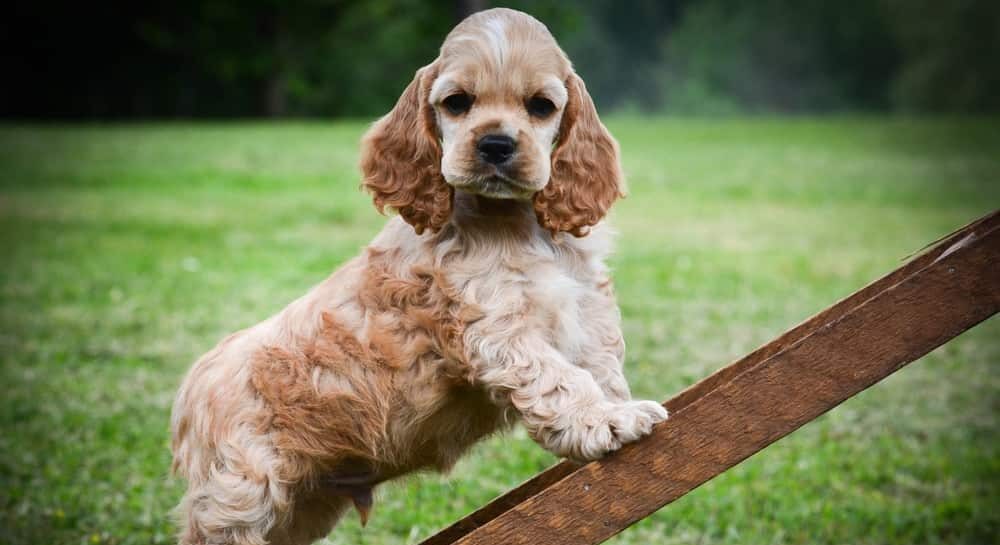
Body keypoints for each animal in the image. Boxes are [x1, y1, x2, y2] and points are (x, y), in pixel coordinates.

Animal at [172, 8, 668, 544]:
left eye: (541, 106)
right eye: (457, 103)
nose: (495, 144)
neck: (515, 224)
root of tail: (190, 391)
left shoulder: (586, 308)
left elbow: (600, 368)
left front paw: (616, 407)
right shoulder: (496, 328)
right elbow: (561, 378)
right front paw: (607, 421)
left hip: (300, 506)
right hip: (241, 496)